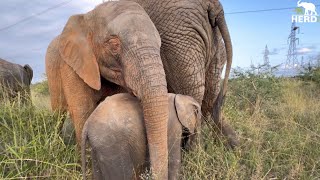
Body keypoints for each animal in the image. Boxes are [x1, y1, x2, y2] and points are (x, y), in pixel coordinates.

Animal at [124, 0, 239, 147]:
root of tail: (213, 4)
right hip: (209, 43)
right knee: (211, 96)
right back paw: (233, 147)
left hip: (179, 41)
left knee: (193, 95)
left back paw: (193, 151)